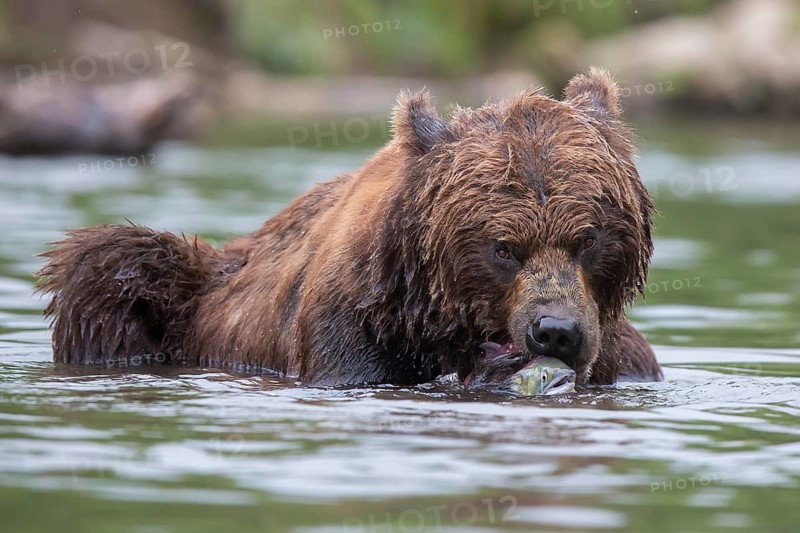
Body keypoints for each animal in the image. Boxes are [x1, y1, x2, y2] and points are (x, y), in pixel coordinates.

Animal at [37, 68, 663, 387]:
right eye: (503, 247)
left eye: (588, 239)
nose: (554, 332)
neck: (429, 311)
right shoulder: (351, 325)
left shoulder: (618, 356)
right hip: (178, 291)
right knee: (110, 269)